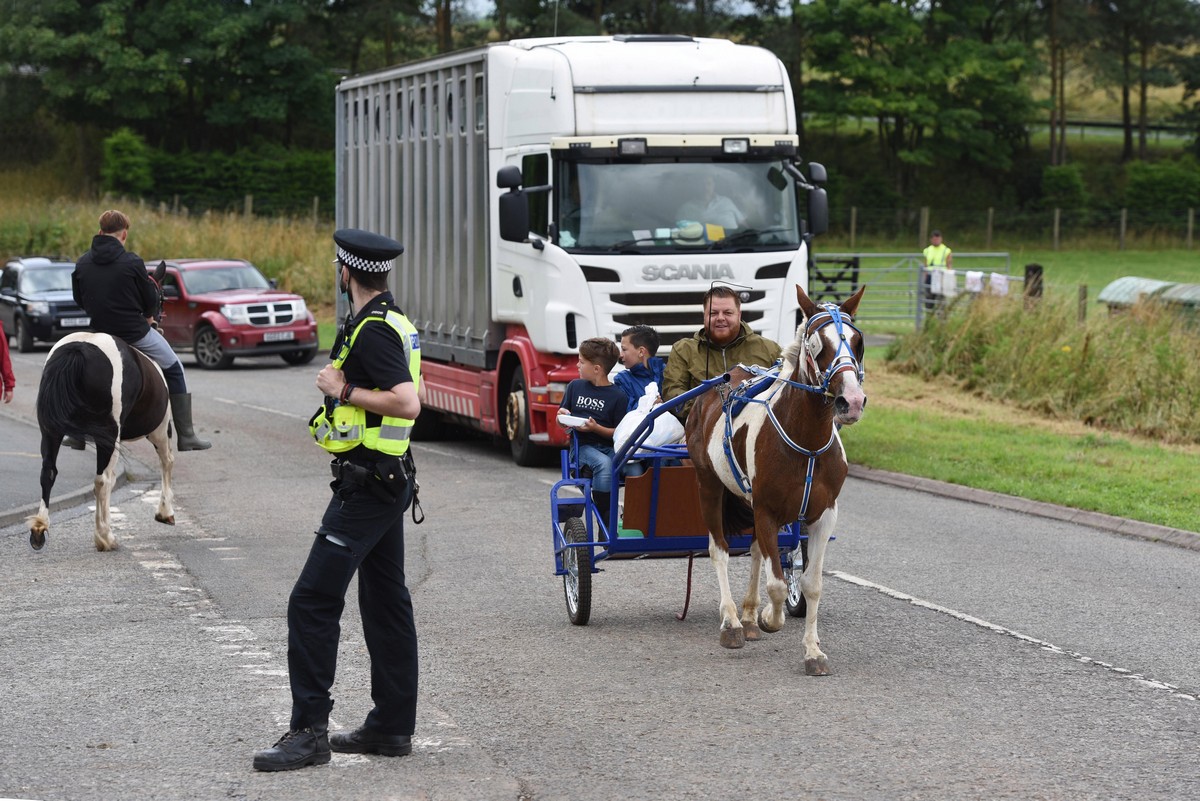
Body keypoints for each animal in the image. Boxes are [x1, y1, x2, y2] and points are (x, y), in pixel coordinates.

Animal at [28, 330, 175, 551]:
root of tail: (79, 348)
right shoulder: (160, 430)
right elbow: (166, 463)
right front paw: (165, 512)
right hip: (112, 433)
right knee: (103, 480)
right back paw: (105, 537)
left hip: (50, 430)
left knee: (48, 472)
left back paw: (39, 530)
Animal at [691, 284, 868, 671]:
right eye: (815, 344)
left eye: (858, 341)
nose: (850, 401)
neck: (807, 442)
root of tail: (723, 379)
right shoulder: (767, 510)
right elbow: (776, 584)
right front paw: (770, 619)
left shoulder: (823, 514)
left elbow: (811, 583)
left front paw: (813, 651)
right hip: (709, 484)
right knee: (719, 549)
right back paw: (732, 621)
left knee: (757, 549)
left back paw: (747, 614)